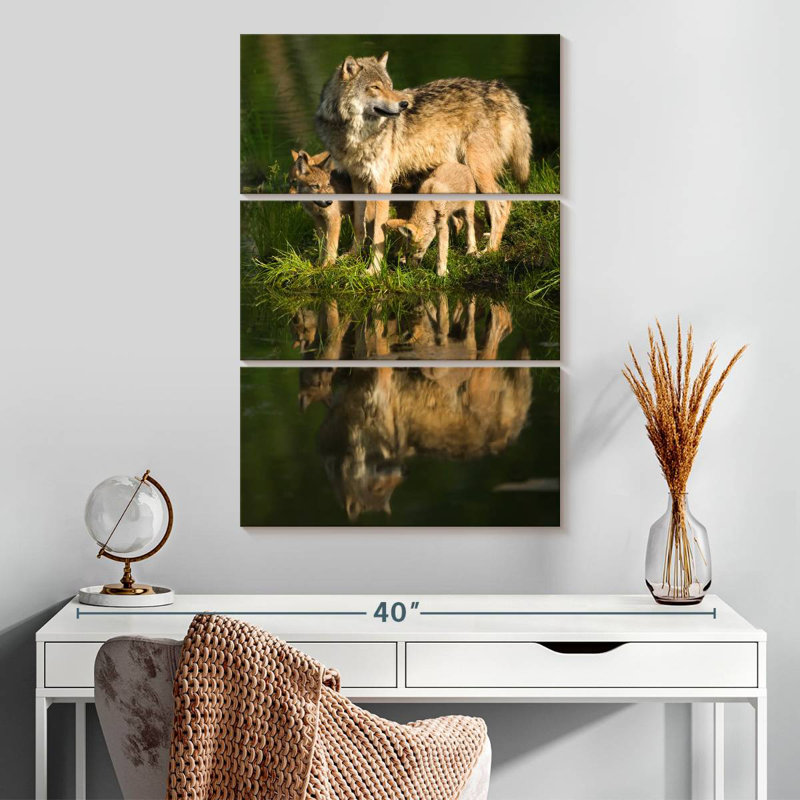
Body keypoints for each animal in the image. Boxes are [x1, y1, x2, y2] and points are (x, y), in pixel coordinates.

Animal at [315, 52, 531, 271]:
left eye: (390, 85)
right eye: (375, 87)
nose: (403, 105)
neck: (355, 134)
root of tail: (500, 88)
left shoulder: (382, 183)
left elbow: (377, 233)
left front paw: (374, 269)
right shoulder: (357, 179)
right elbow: (359, 226)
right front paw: (352, 255)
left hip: (477, 171)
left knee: (502, 202)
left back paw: (490, 249)